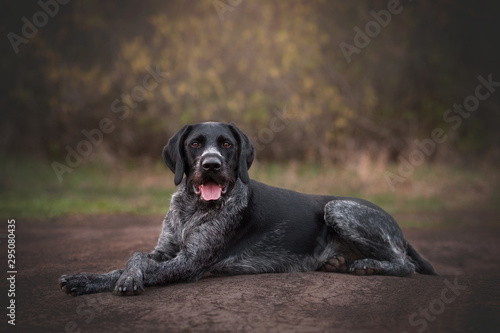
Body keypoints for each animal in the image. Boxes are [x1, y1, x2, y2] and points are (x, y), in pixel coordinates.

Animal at [59, 121, 438, 296]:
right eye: (195, 144)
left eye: (226, 144)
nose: (211, 165)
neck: (193, 209)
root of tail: (396, 225)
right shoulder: (166, 250)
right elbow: (133, 258)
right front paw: (89, 278)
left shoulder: (190, 263)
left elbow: (143, 266)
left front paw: (124, 281)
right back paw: (337, 262)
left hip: (337, 207)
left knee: (404, 263)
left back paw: (369, 266)